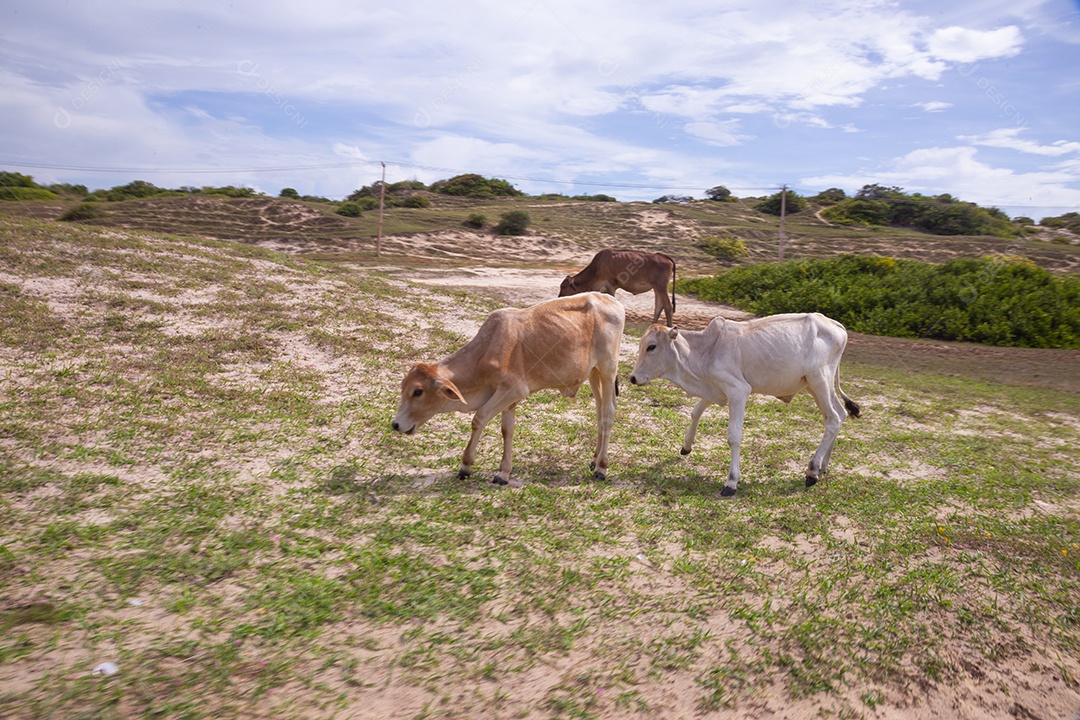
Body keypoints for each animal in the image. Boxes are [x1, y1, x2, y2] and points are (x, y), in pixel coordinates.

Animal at [392, 292, 625, 486]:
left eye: (418, 391)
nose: (395, 424)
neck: (486, 352)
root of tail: (611, 300)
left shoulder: (513, 390)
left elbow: (479, 418)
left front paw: (466, 466)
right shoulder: (509, 398)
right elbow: (507, 429)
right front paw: (503, 473)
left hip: (608, 368)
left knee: (608, 413)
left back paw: (601, 467)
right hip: (594, 373)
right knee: (600, 410)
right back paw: (594, 458)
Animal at [628, 313, 860, 496]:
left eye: (651, 346)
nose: (633, 378)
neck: (707, 349)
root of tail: (835, 324)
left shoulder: (738, 391)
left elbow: (734, 436)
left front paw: (731, 482)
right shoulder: (717, 390)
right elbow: (695, 412)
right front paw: (686, 446)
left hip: (819, 381)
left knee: (833, 419)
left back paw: (812, 471)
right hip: (817, 387)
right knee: (838, 415)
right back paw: (824, 466)